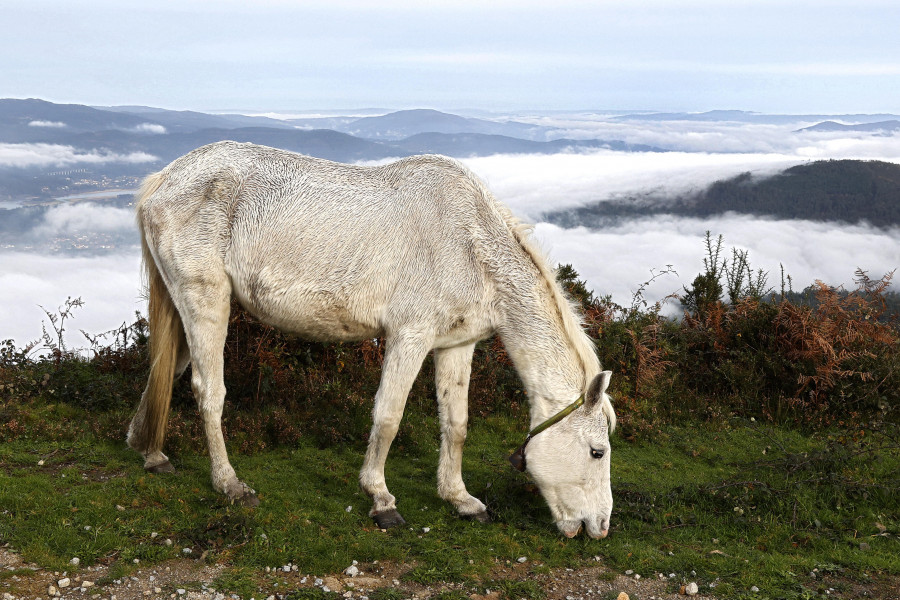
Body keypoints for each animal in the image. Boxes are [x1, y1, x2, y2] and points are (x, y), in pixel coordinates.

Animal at [126, 142, 616, 540]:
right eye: (597, 452)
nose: (599, 527)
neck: (468, 243)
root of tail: (164, 180)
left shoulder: (455, 346)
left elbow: (456, 424)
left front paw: (460, 499)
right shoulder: (409, 337)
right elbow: (388, 418)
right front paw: (381, 500)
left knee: (164, 372)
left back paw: (151, 453)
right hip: (206, 301)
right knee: (208, 391)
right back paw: (229, 484)